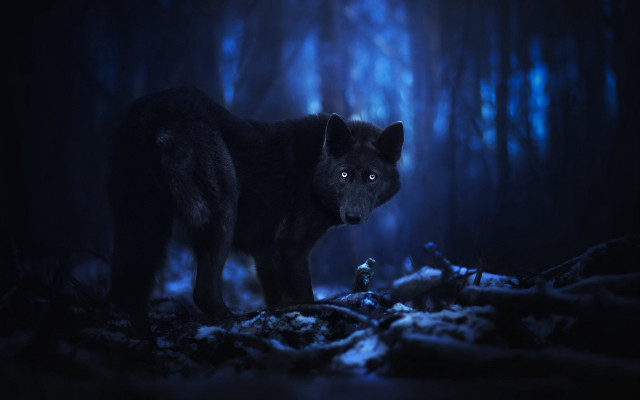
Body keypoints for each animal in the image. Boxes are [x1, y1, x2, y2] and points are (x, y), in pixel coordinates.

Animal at [108, 86, 403, 321]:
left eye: (372, 177)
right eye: (343, 174)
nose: (353, 217)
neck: (313, 169)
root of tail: (152, 111)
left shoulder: (265, 254)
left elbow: (275, 298)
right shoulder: (291, 251)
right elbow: (304, 296)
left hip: (144, 224)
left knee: (125, 285)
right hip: (221, 213)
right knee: (203, 291)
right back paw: (232, 321)